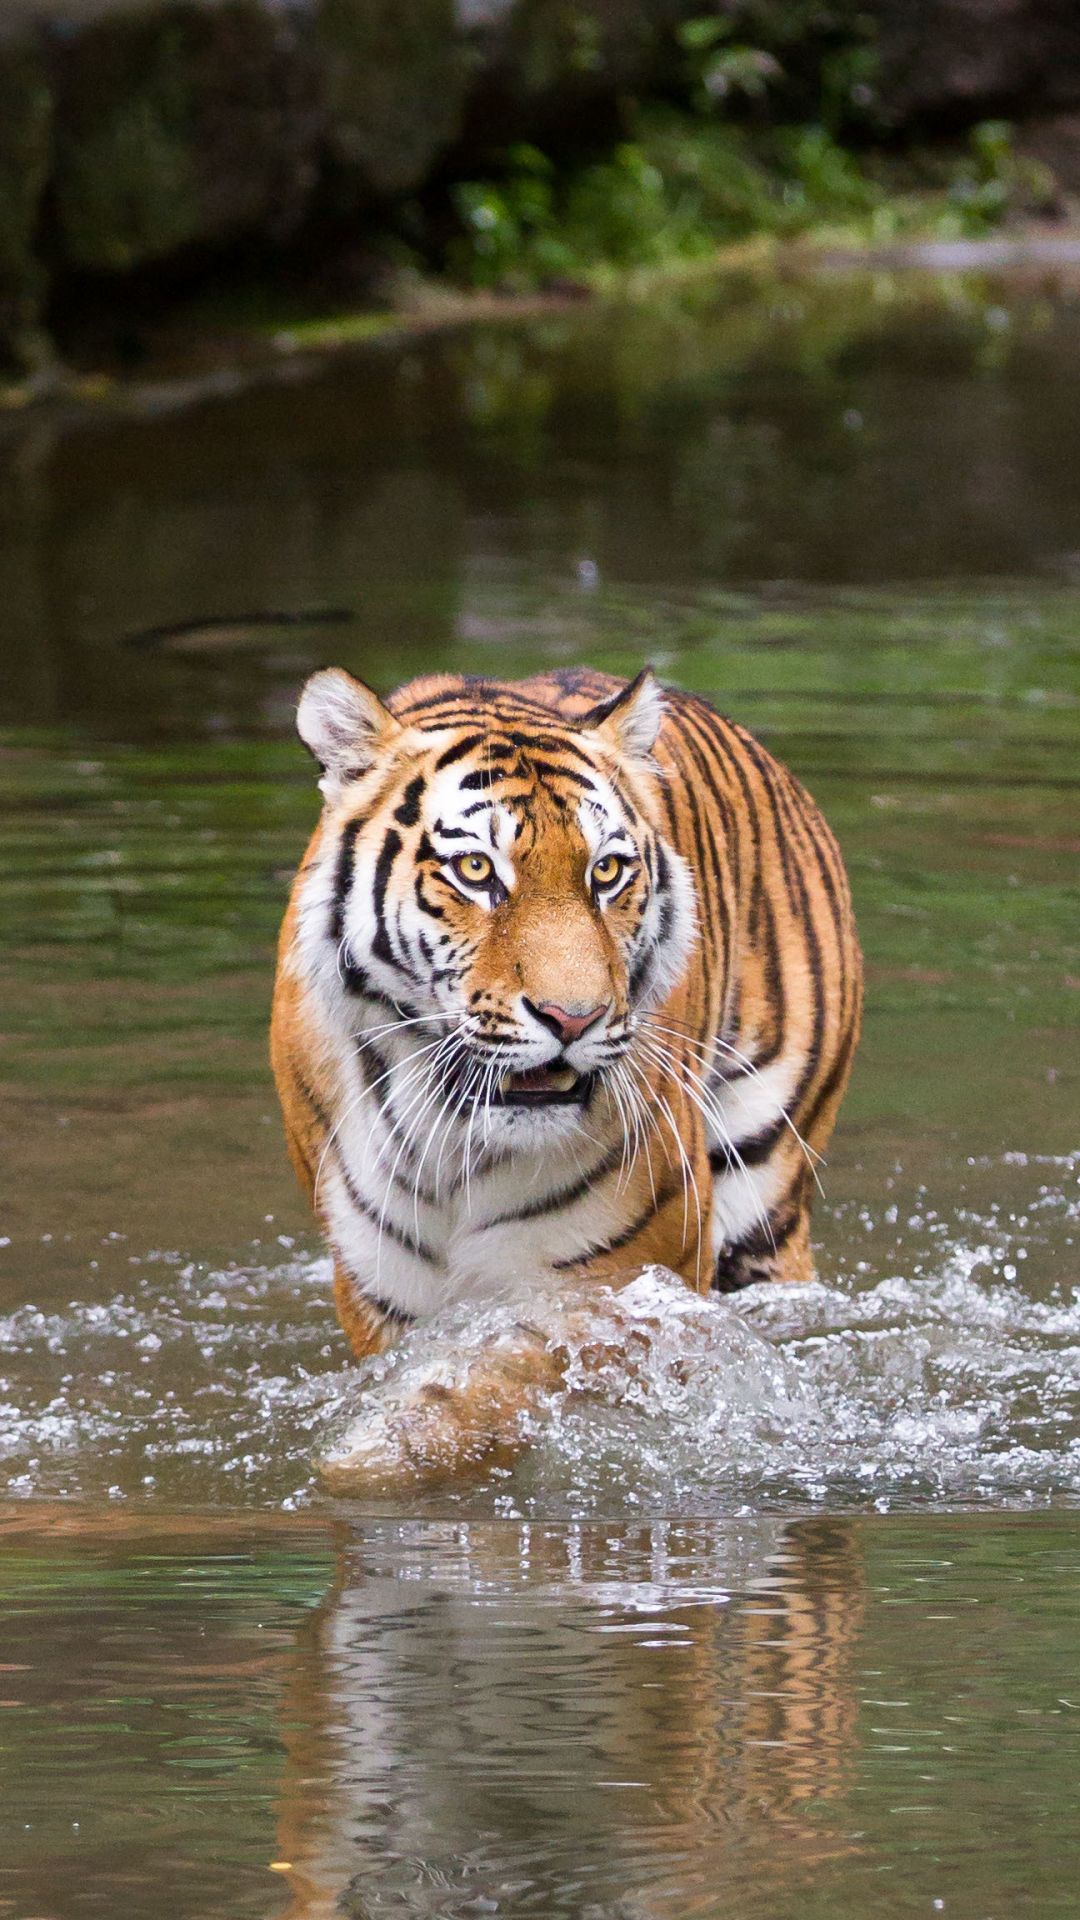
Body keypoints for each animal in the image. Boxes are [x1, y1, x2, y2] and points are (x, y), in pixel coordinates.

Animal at [271, 662, 862, 1384]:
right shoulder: (380, 1290)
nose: (573, 1018)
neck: (454, 1144)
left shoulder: (615, 1277)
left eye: (605, 871)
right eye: (475, 869)